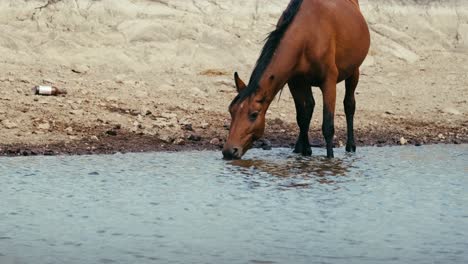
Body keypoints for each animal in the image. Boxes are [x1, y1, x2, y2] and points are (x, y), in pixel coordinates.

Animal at [223, 0, 370, 159]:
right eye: (231, 110)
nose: (229, 151)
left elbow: (328, 126)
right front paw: (305, 152)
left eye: (254, 114)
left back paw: (351, 146)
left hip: (354, 72)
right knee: (310, 106)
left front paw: (329, 157)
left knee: (349, 104)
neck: (307, 35)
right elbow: (302, 118)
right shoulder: (294, 82)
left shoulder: (328, 81)